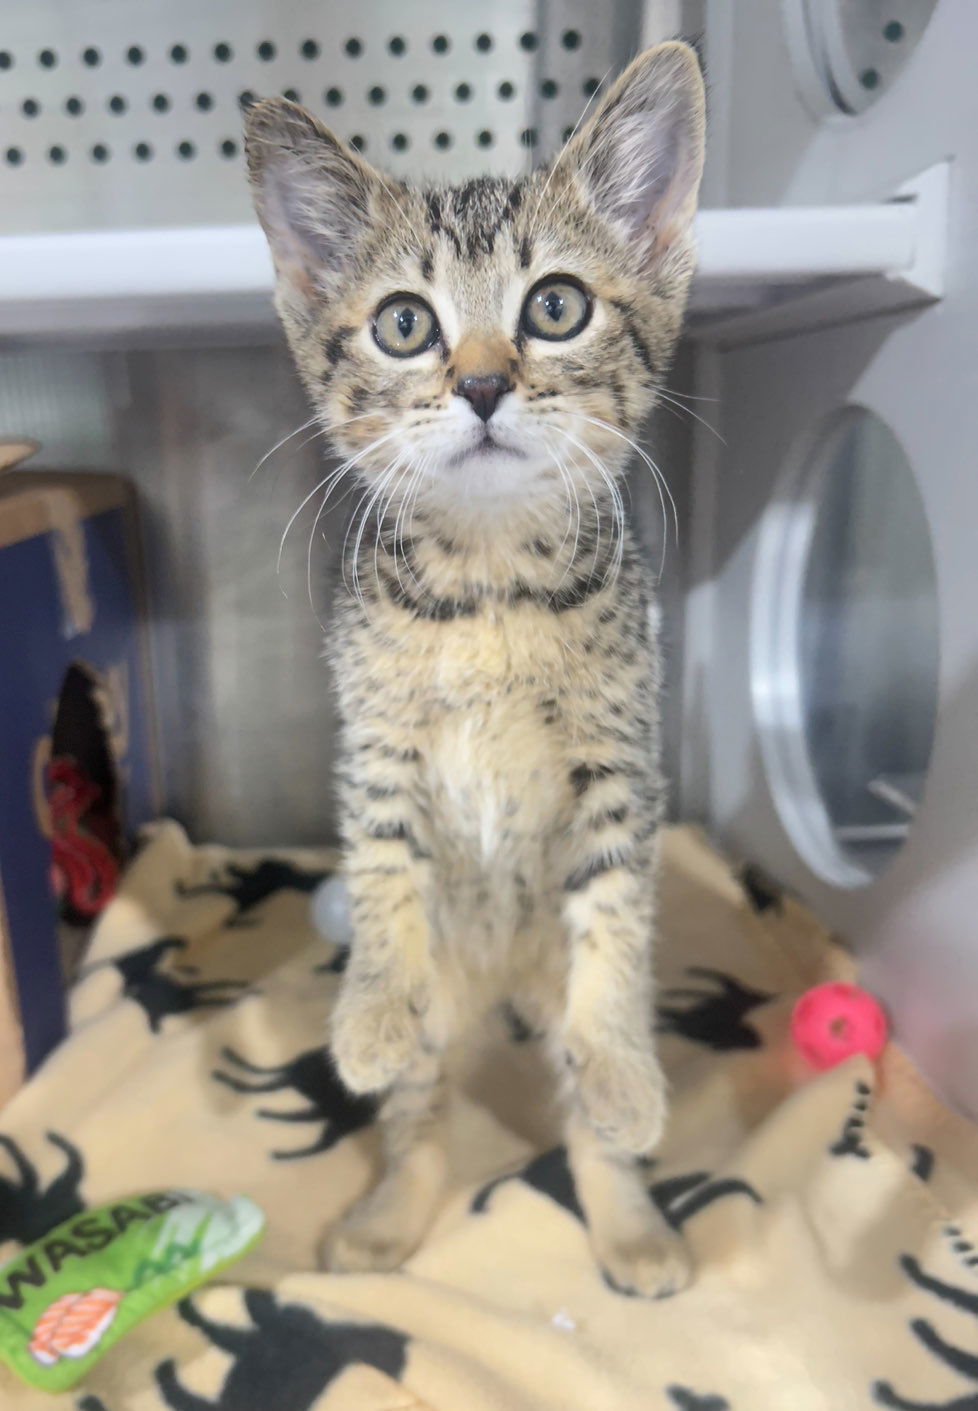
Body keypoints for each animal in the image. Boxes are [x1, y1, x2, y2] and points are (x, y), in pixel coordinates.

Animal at [244, 41, 702, 1298]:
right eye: (406, 323)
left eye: (556, 305)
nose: (486, 383)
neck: (492, 583)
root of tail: (496, 989)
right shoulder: (377, 745)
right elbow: (383, 868)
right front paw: (364, 1016)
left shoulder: (621, 759)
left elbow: (616, 919)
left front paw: (629, 1078)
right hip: (442, 1005)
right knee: (420, 1114)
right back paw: (387, 1219)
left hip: (551, 985)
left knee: (582, 1107)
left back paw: (630, 1217)